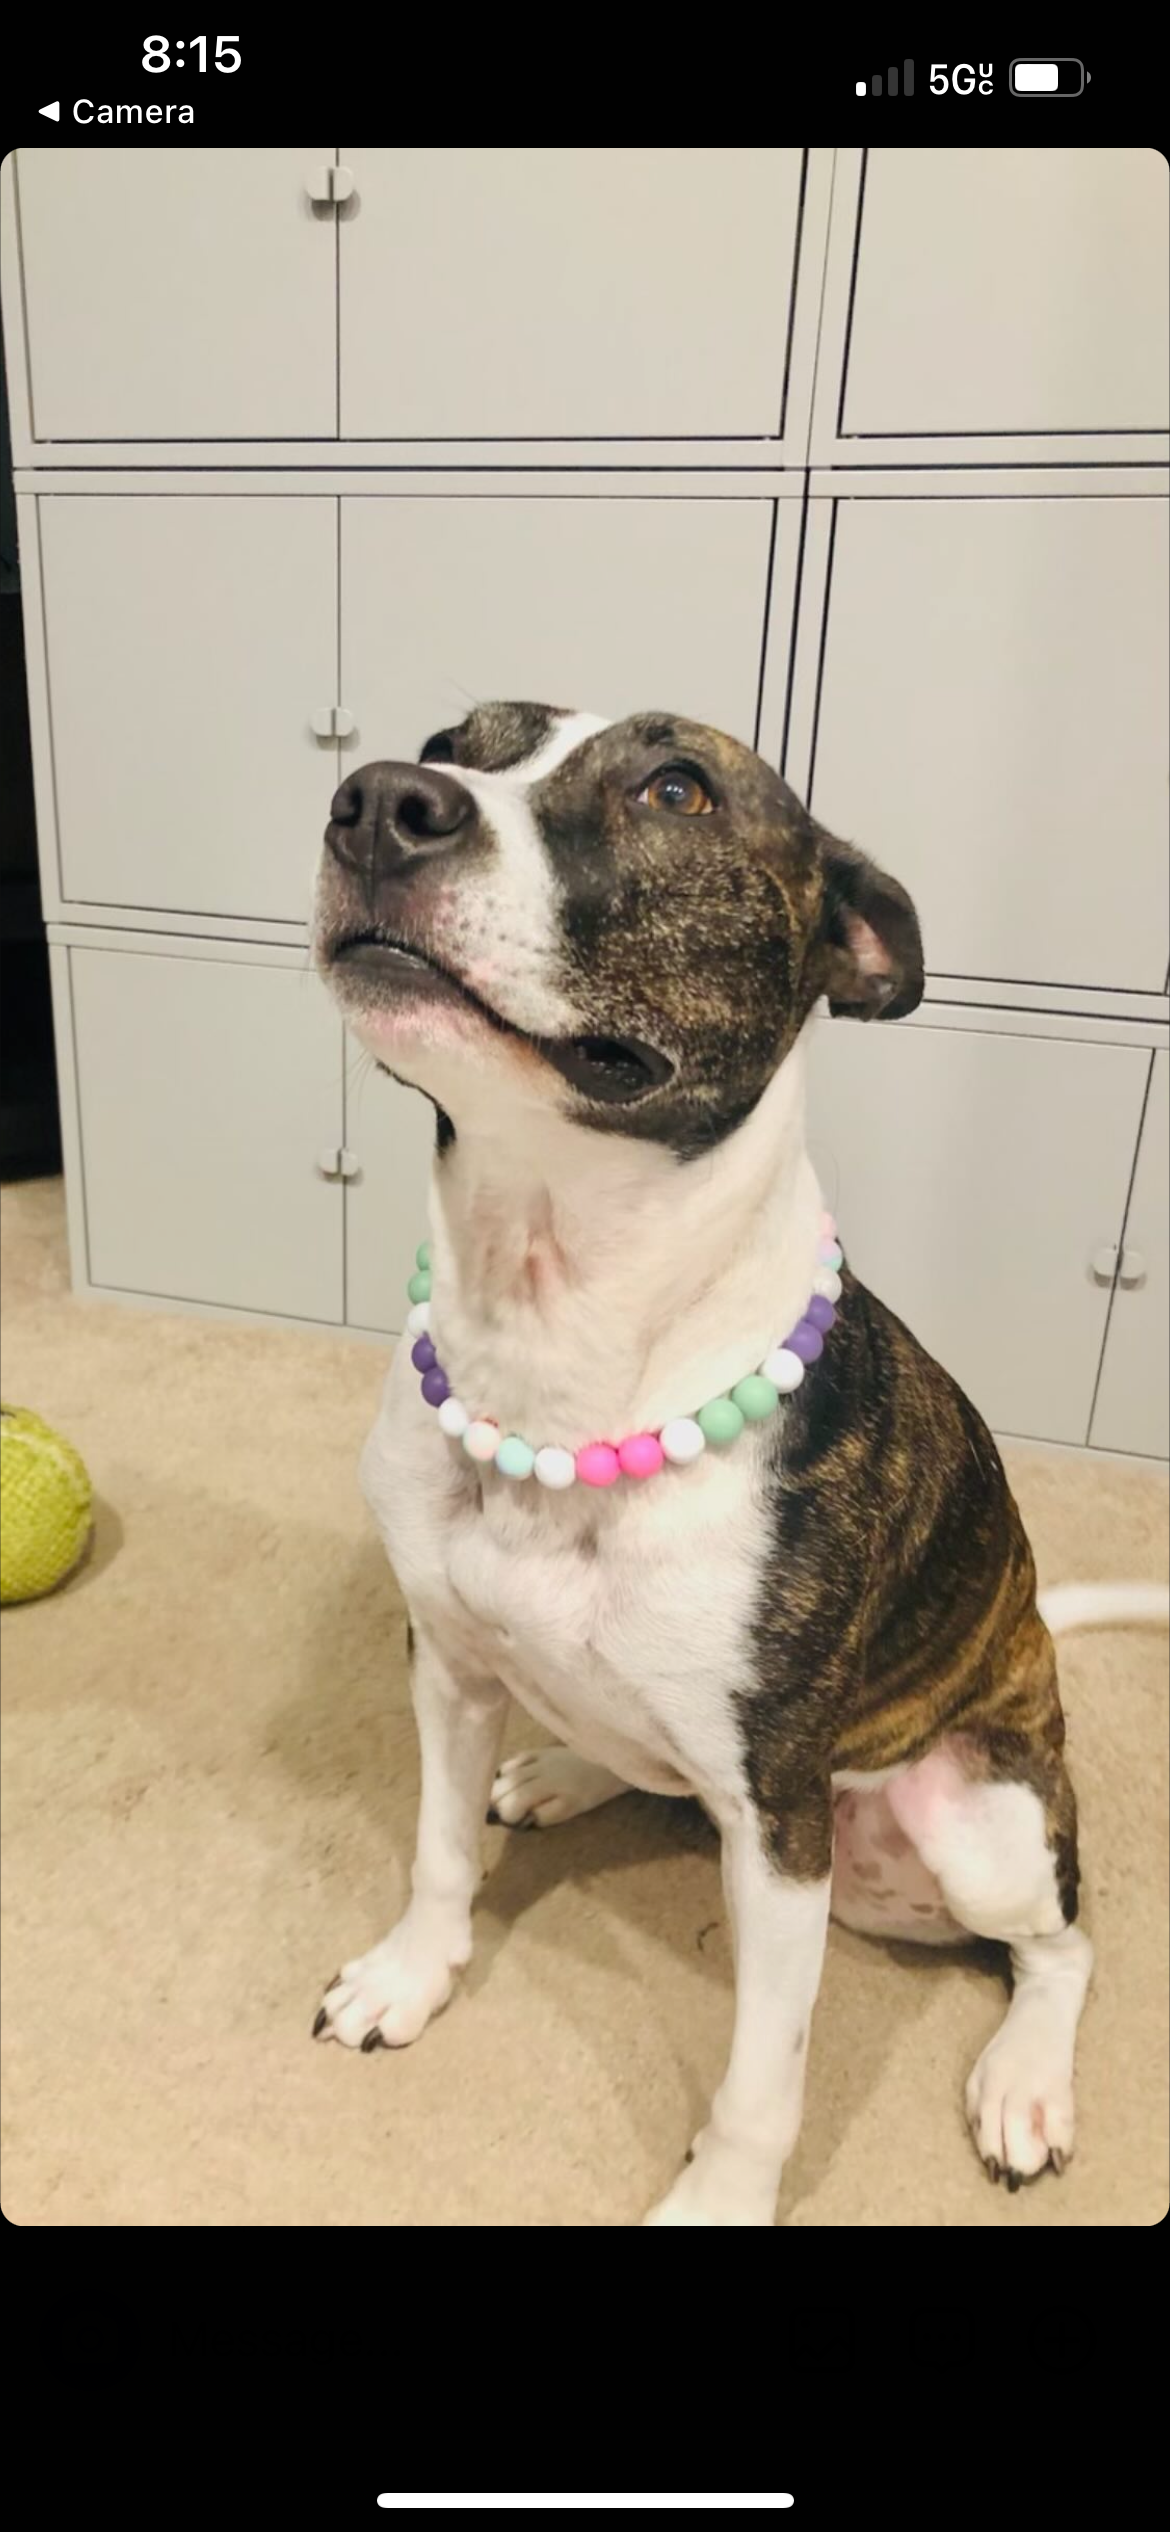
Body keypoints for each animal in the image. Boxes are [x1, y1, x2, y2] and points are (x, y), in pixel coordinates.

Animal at [310, 703, 1170, 2228]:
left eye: (675, 790)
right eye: (453, 740)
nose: (377, 803)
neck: (558, 1343)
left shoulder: (776, 1825)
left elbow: (764, 2076)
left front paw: (719, 2198)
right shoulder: (446, 1666)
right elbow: (436, 1853)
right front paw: (411, 1977)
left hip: (981, 1823)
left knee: (1064, 1946)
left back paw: (1024, 2079)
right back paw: (563, 1771)